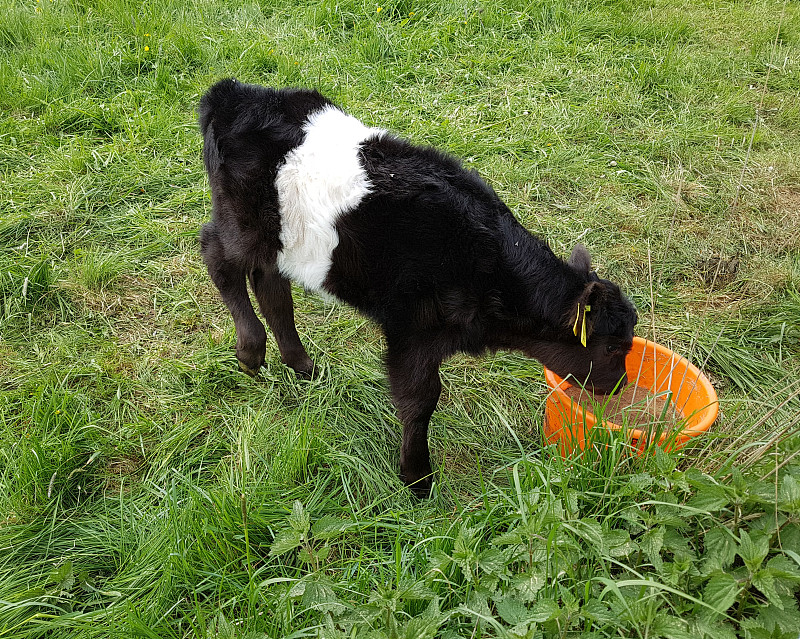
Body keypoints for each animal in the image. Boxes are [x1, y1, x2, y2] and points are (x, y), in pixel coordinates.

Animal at [198, 80, 636, 498]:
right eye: (612, 347)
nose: (621, 384)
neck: (488, 268)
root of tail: (231, 93)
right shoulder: (411, 329)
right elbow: (420, 399)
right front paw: (417, 478)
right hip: (245, 223)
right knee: (217, 254)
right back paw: (251, 351)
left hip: (283, 241)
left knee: (270, 286)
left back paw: (302, 366)